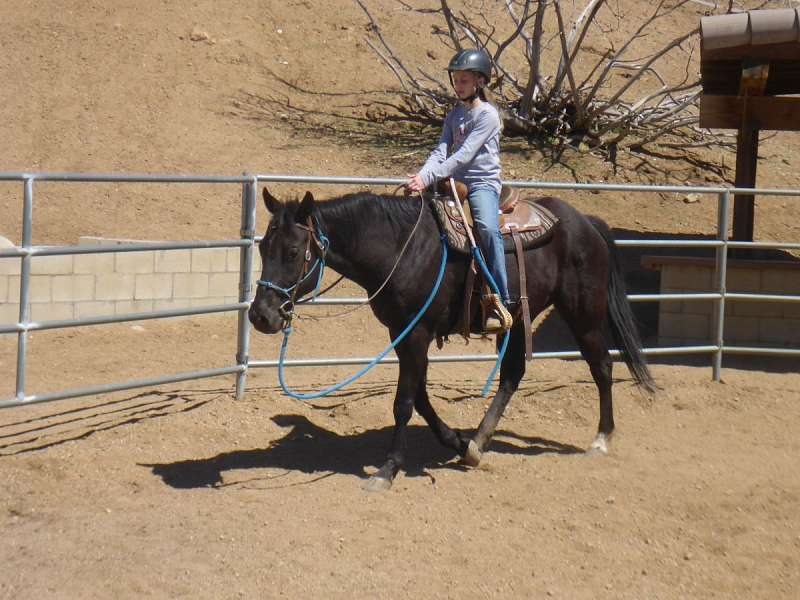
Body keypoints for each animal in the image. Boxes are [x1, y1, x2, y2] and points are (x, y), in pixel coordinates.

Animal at [248, 187, 655, 491]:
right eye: (261, 248)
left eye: (292, 252)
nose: (260, 316)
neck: (400, 248)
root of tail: (586, 222)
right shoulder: (402, 333)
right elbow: (420, 398)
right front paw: (458, 443)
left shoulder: (416, 334)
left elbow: (404, 402)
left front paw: (388, 470)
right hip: (519, 321)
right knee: (512, 375)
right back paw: (478, 442)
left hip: (583, 314)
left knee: (601, 366)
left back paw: (601, 439)